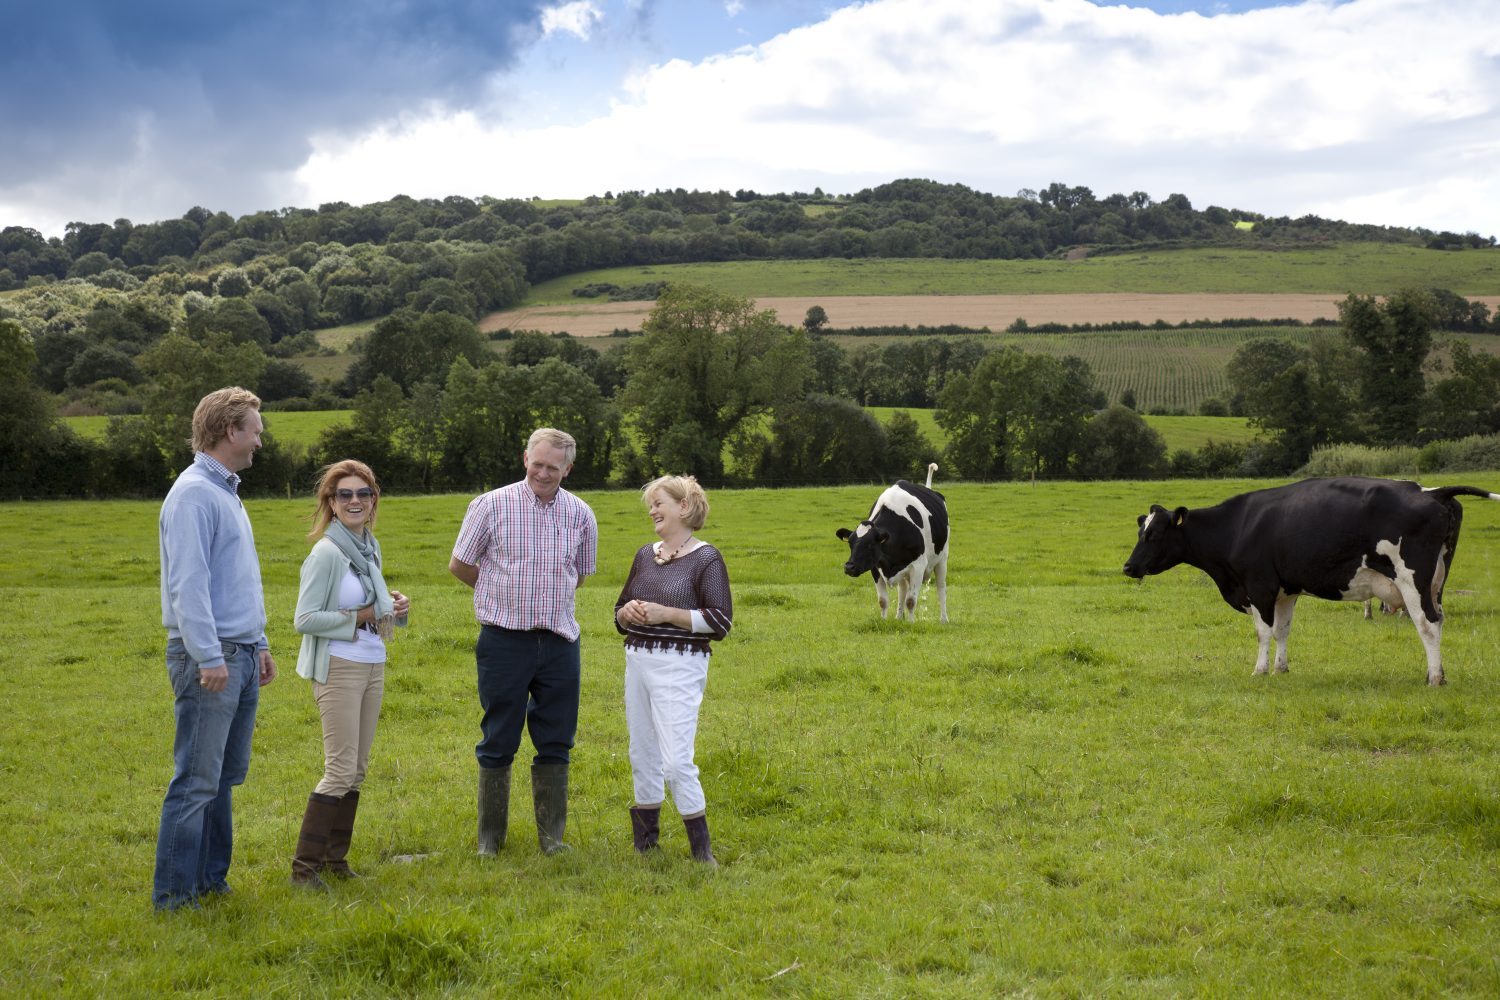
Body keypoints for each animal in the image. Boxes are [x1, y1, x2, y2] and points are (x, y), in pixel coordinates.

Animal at [834, 464, 948, 620]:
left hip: (942, 558)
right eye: (850, 543)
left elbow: (911, 601)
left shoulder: (918, 566)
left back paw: (944, 619)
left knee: (941, 587)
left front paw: (911, 623)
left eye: (870, 545)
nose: (849, 567)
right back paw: (899, 617)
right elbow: (883, 600)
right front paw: (884, 621)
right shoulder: (875, 566)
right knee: (902, 589)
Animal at [1122, 479, 1494, 683]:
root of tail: (1428, 490)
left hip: (1412, 579)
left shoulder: (1259, 587)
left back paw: (1435, 678)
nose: (1128, 567)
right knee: (1439, 620)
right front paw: (1281, 669)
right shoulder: (1286, 591)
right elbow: (1283, 630)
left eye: (1154, 535)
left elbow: (1263, 632)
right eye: (1141, 531)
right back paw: (1436, 672)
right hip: (1436, 583)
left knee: (1427, 624)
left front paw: (1259, 671)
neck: (1237, 527)